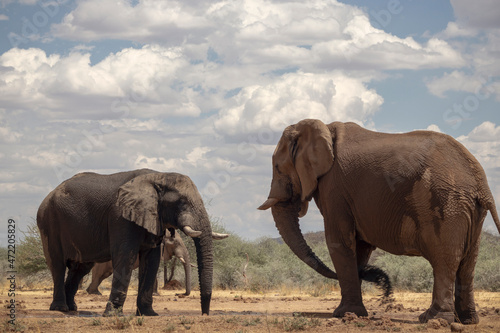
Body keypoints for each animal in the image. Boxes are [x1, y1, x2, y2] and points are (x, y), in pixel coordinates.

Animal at [36, 170, 220, 316]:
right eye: (182, 202)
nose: (204, 314)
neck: (159, 176)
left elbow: (151, 261)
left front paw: (149, 314)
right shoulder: (120, 216)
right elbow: (125, 256)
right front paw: (112, 315)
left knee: (80, 268)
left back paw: (72, 308)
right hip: (48, 221)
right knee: (58, 264)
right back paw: (60, 308)